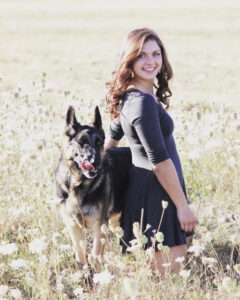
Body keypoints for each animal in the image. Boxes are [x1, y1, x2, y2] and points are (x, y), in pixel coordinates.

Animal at [54, 105, 130, 274]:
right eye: (82, 142)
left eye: (99, 142)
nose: (96, 162)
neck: (78, 185)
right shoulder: (74, 227)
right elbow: (81, 257)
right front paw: (85, 277)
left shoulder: (99, 226)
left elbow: (95, 258)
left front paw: (99, 279)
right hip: (115, 222)